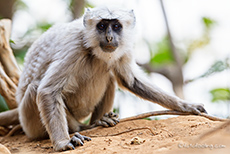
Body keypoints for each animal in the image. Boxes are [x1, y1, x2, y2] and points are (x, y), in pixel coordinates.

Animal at [0, 7, 207, 152]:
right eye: (101, 25)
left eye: (116, 26)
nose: (109, 37)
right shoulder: (74, 47)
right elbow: (47, 90)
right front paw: (62, 142)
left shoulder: (122, 47)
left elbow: (130, 80)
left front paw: (186, 106)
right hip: (31, 124)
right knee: (36, 87)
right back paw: (83, 128)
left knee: (109, 74)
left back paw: (99, 121)